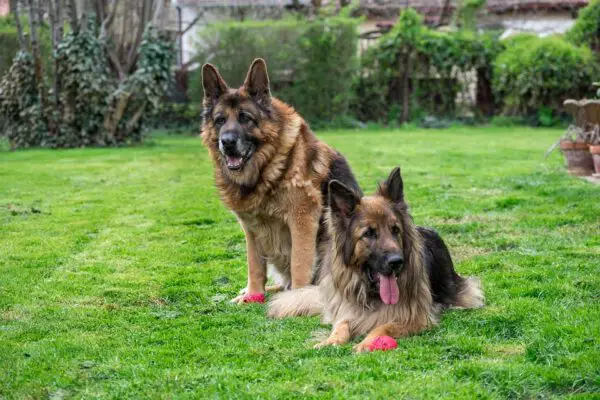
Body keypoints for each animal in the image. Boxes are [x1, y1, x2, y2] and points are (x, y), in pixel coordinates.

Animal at [202, 58, 360, 304]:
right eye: (220, 120)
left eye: (245, 118)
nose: (226, 142)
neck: (265, 169)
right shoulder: (251, 229)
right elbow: (254, 266)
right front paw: (253, 294)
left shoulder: (302, 220)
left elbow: (299, 264)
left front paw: (297, 299)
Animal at [268, 167, 482, 352]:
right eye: (369, 233)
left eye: (395, 230)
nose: (397, 262)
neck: (373, 294)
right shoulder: (348, 311)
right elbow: (341, 325)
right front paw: (330, 340)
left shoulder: (416, 318)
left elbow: (383, 327)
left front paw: (367, 342)